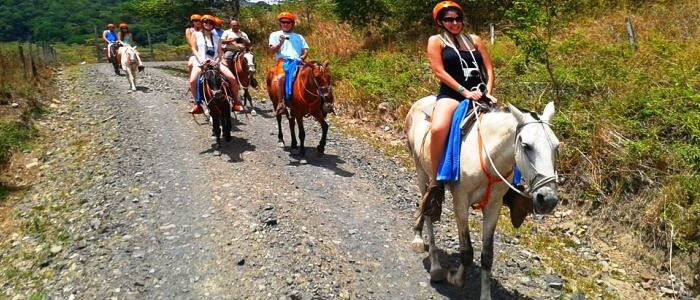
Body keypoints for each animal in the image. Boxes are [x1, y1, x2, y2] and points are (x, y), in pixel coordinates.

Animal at [404, 96, 556, 300]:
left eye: (556, 147)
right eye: (526, 146)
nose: (548, 199)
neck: (486, 154)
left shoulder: (493, 206)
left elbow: (487, 255)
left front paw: (485, 295)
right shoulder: (460, 202)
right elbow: (467, 250)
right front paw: (456, 279)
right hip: (421, 170)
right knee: (426, 208)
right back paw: (430, 257)